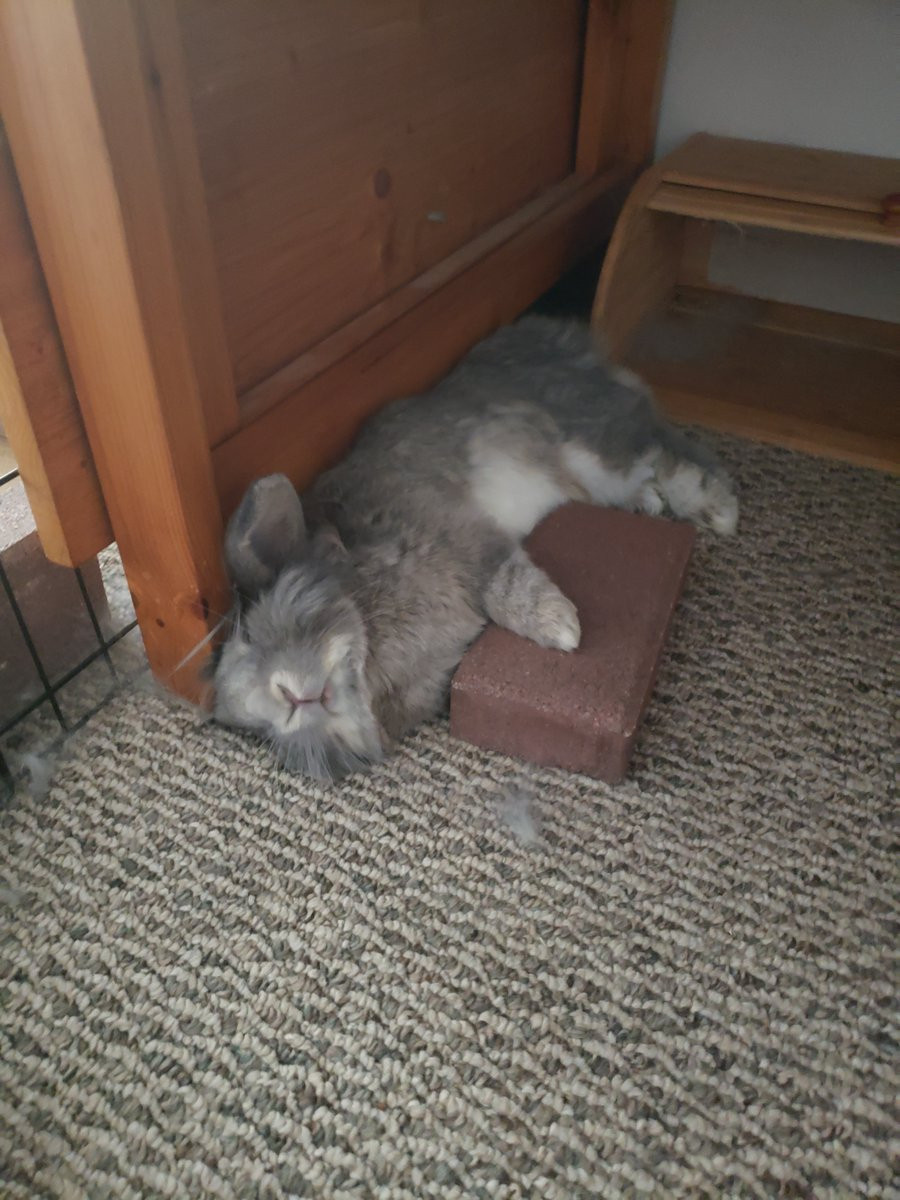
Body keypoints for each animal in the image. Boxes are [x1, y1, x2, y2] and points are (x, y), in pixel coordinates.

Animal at [213, 312, 739, 777]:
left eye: (253, 635)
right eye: (259, 731)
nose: (286, 700)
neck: (366, 614)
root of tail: (562, 341)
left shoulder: (459, 539)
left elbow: (505, 586)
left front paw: (562, 628)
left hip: (593, 441)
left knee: (667, 448)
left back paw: (717, 509)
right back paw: (646, 502)